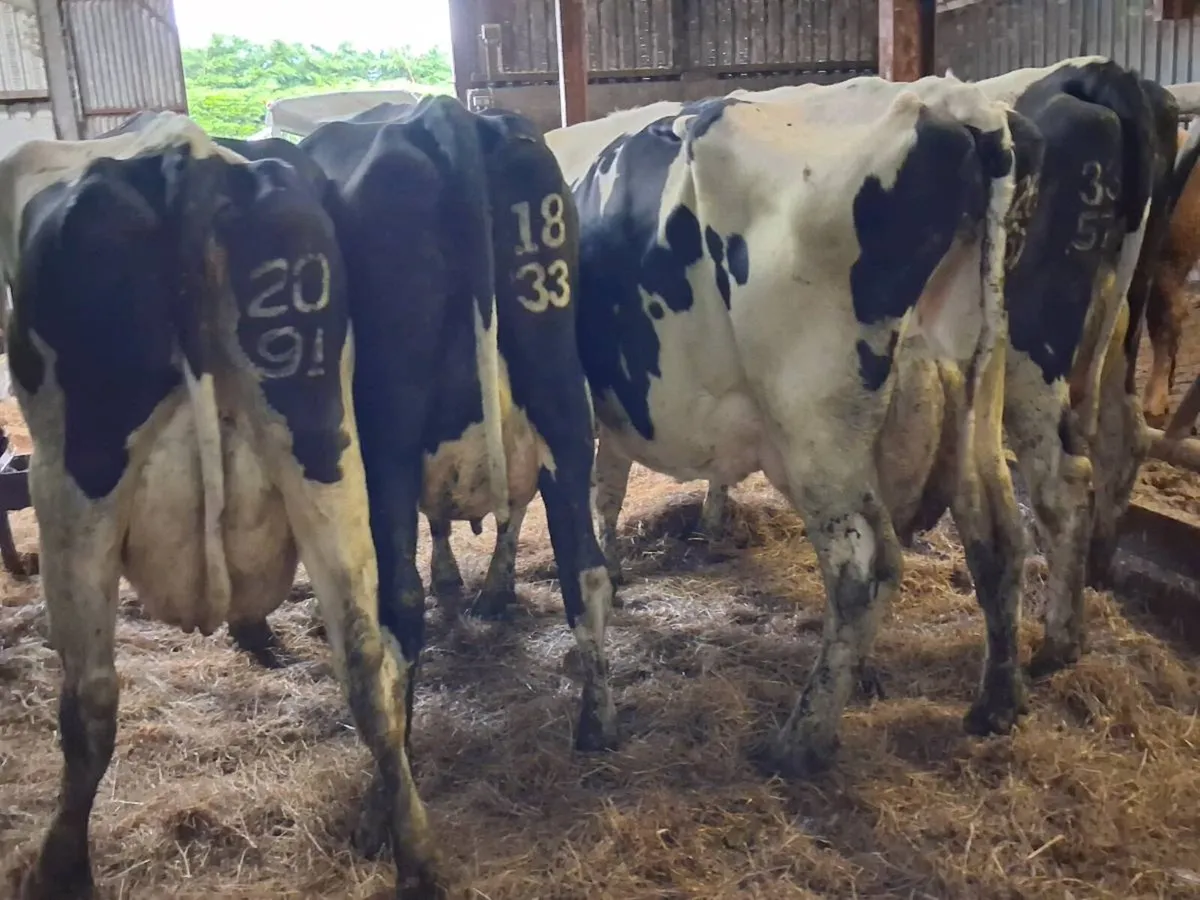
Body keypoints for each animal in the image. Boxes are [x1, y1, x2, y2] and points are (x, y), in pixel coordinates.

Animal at [0, 113, 441, 898]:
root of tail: (188, 157)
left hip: (74, 477)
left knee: (89, 698)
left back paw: (61, 870)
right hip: (323, 440)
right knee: (369, 657)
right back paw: (415, 859)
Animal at [294, 97, 617, 778]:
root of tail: (444, 113)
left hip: (388, 428)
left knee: (400, 598)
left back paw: (394, 763)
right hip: (560, 388)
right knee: (584, 568)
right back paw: (597, 721)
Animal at [539, 83, 1026, 774]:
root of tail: (952, 106)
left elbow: (579, 565)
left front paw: (593, 716)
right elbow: (606, 494)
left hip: (815, 431)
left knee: (862, 570)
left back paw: (801, 738)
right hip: (973, 402)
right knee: (998, 539)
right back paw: (995, 703)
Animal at [708, 58, 1181, 679]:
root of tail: (1097, 74)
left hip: (1030, 354)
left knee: (1060, 482)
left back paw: (1053, 643)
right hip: (1118, 326)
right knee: (1119, 437)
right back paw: (1088, 593)